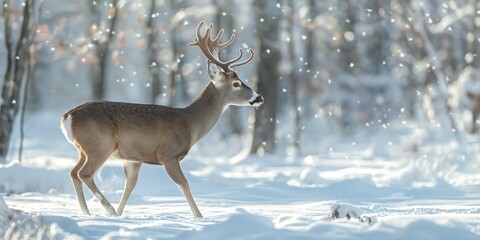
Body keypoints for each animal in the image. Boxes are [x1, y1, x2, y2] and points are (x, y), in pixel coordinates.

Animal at [60, 21, 264, 218]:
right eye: (236, 84)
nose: (259, 97)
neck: (190, 123)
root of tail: (68, 116)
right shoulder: (168, 154)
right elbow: (184, 184)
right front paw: (199, 217)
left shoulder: (134, 157)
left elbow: (129, 187)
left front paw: (119, 214)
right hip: (100, 144)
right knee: (85, 173)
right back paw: (106, 209)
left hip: (84, 149)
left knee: (74, 173)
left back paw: (87, 212)